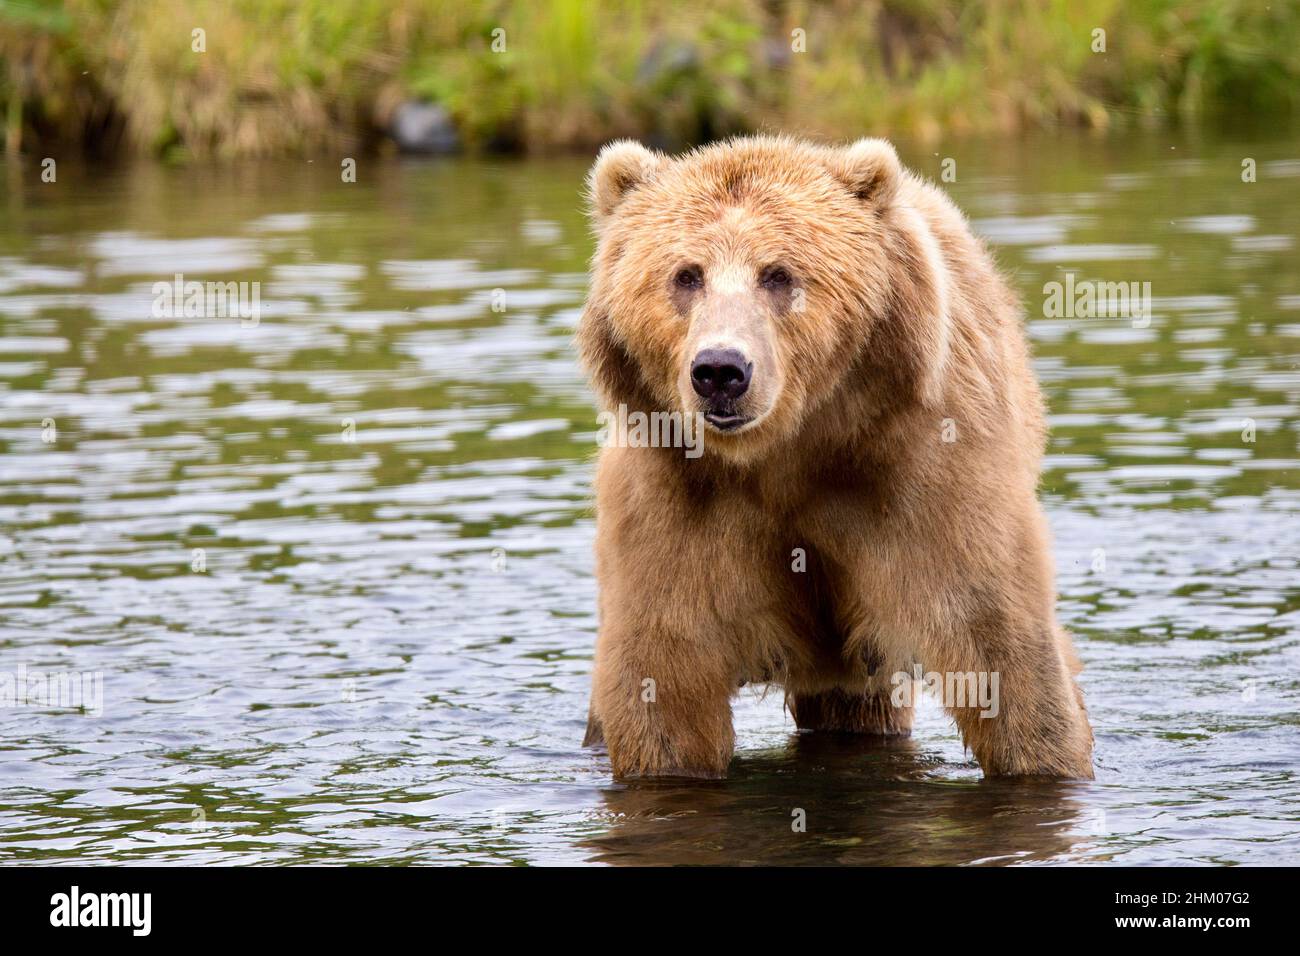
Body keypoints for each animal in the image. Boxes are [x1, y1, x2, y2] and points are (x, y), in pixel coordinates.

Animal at [576, 134, 1094, 781]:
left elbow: (1000, 645)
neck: (787, 452)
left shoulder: (922, 475)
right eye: (686, 275)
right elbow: (664, 679)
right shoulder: (675, 499)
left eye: (778, 274)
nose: (720, 370)